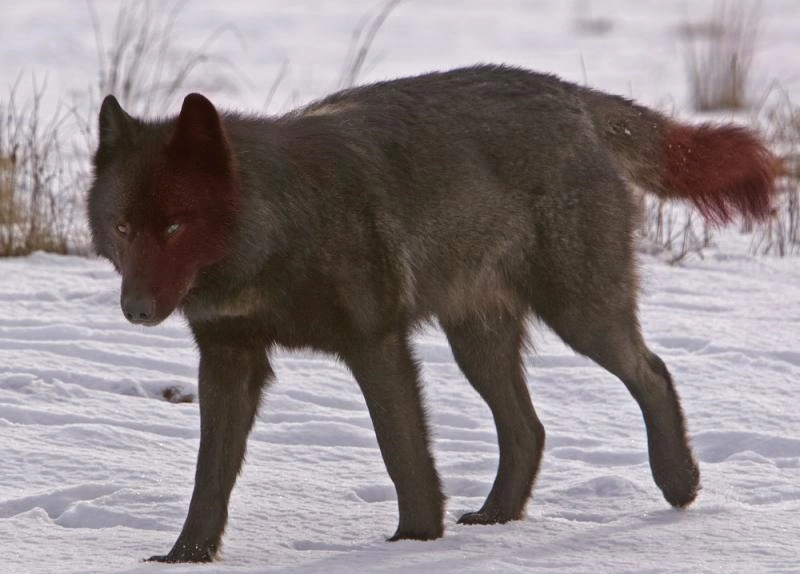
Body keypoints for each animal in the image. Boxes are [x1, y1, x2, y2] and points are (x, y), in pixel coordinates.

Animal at [88, 65, 776, 562]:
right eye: (123, 227)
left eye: (174, 226)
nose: (135, 310)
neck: (276, 230)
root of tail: (570, 96)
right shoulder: (230, 361)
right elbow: (209, 476)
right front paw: (185, 557)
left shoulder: (377, 344)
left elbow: (403, 451)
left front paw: (414, 544)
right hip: (477, 343)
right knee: (530, 428)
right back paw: (497, 519)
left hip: (580, 315)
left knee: (653, 373)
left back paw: (679, 484)